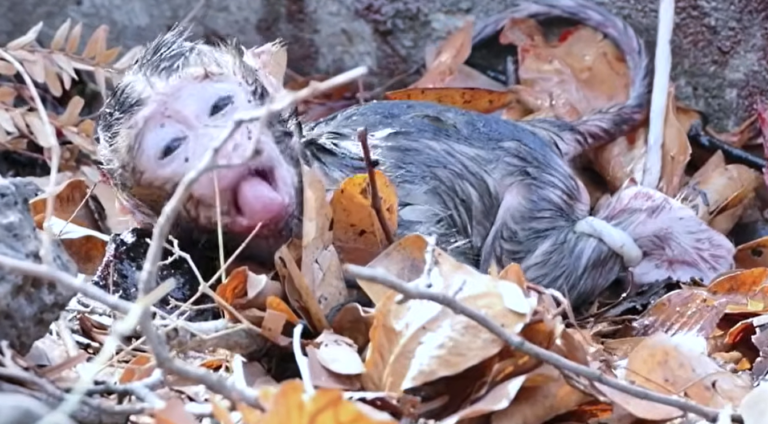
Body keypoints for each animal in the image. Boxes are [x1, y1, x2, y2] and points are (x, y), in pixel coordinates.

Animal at [95, 0, 735, 311]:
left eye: (220, 106)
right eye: (173, 146)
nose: (220, 146)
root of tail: (544, 132)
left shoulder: (385, 207)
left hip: (539, 188)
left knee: (516, 265)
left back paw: (656, 227)